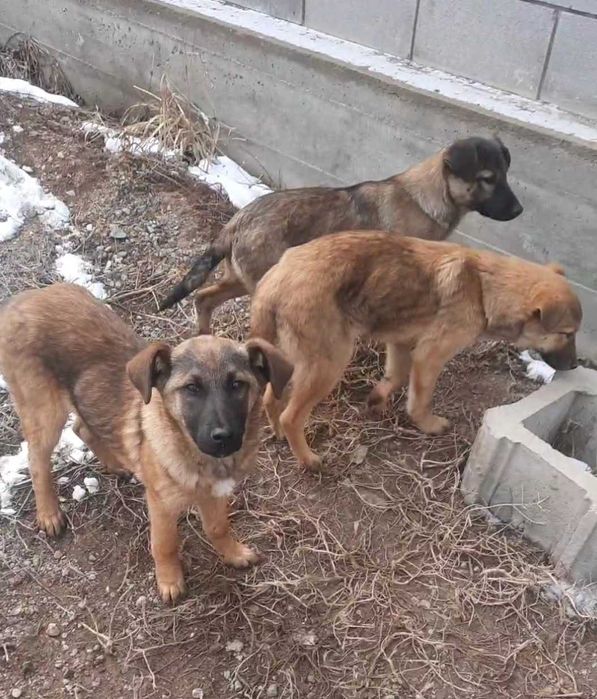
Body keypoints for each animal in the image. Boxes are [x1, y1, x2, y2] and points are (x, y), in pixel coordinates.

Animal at [0, 283, 293, 602]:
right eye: (192, 388)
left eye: (238, 385)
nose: (223, 437)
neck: (195, 453)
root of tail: (23, 299)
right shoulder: (161, 504)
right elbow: (165, 544)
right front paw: (169, 581)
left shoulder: (215, 492)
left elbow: (217, 527)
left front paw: (233, 553)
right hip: (44, 410)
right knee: (37, 460)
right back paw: (49, 513)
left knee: (81, 427)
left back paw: (116, 463)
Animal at [159, 136, 523, 334]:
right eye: (488, 178)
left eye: (506, 174)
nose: (519, 211)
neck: (426, 198)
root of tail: (236, 221)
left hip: (240, 279)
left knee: (203, 298)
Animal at [249, 232, 581, 471]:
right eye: (567, 334)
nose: (576, 367)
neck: (484, 287)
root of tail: (275, 280)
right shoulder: (430, 355)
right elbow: (419, 399)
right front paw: (427, 424)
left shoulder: (402, 344)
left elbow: (395, 377)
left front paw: (377, 400)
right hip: (329, 364)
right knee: (292, 416)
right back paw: (307, 459)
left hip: (290, 360)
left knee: (269, 398)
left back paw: (278, 432)